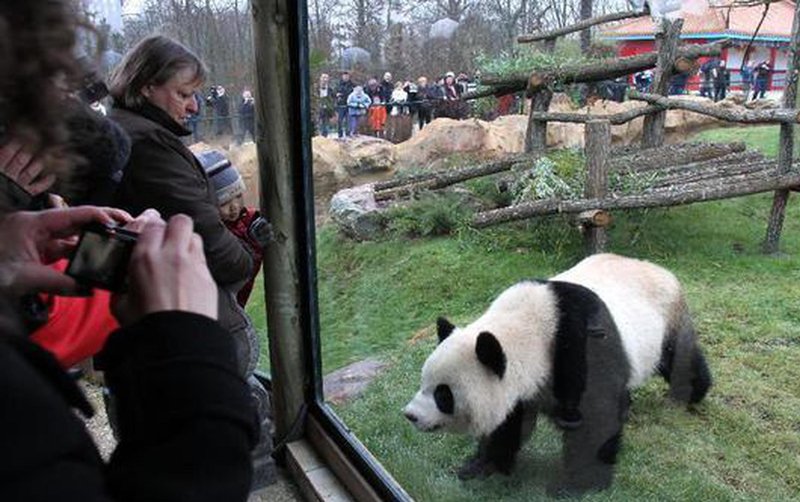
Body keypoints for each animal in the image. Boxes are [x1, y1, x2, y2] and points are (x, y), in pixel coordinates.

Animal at [403, 253, 711, 495]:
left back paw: (692, 393)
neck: (532, 326)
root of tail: (658, 267)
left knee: (678, 359)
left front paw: (575, 485)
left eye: (443, 394)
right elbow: (508, 423)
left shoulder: (580, 346)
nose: (410, 415)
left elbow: (596, 418)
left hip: (667, 318)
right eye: (423, 383)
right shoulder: (521, 386)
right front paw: (480, 466)